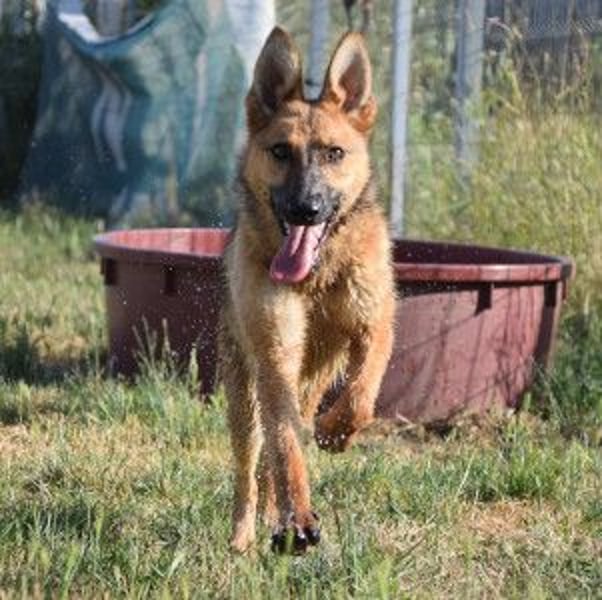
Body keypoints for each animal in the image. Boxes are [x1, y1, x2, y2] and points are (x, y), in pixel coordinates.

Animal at [219, 26, 395, 554]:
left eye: (334, 153)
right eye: (280, 151)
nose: (305, 209)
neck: (317, 276)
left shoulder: (375, 326)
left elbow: (361, 394)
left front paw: (336, 433)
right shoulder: (275, 355)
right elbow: (284, 446)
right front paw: (297, 521)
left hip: (309, 382)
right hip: (245, 395)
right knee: (253, 465)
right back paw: (246, 535)